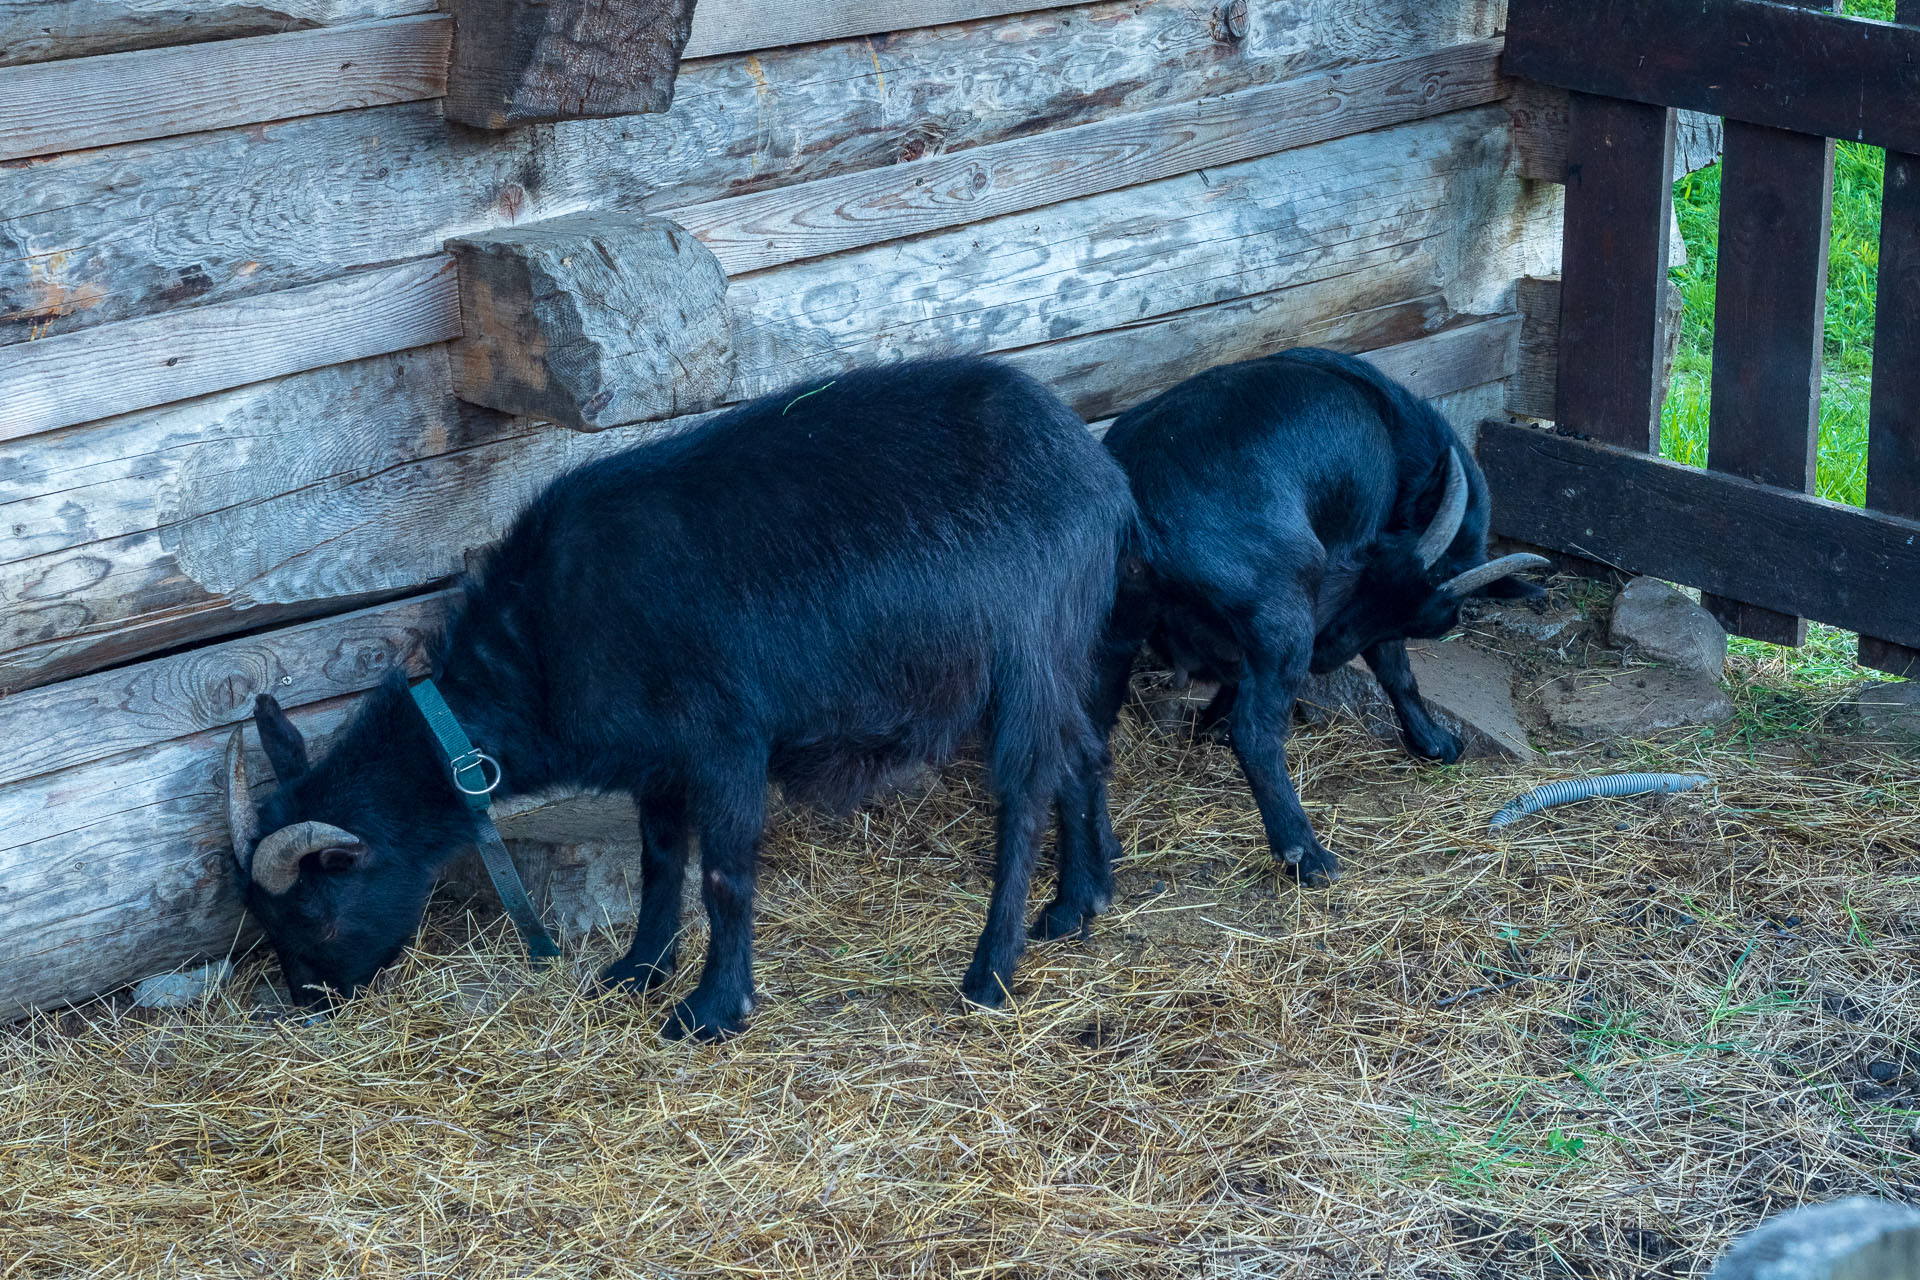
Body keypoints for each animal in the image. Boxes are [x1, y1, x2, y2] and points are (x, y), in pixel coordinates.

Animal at [219, 360, 1128, 1043]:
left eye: (317, 913)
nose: (312, 1003)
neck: (540, 641)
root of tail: (1097, 471)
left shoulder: (725, 741)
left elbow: (722, 872)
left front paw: (713, 1009)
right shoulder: (656, 758)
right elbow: (661, 860)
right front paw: (637, 971)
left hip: (1024, 653)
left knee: (1026, 794)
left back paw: (991, 970)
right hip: (1063, 652)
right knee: (1084, 753)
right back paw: (1077, 904)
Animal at [1075, 347, 1551, 890]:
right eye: (1375, 563)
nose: (1327, 655)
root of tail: (1142, 515)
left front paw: (1209, 722)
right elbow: (1396, 670)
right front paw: (1435, 742)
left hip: (1112, 631)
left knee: (1088, 733)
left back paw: (1100, 853)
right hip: (1286, 616)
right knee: (1257, 736)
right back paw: (1307, 854)